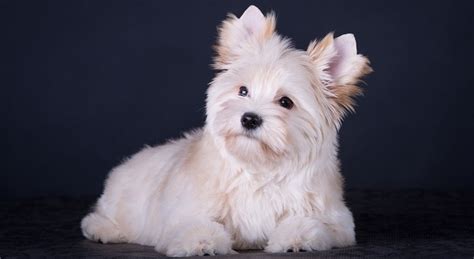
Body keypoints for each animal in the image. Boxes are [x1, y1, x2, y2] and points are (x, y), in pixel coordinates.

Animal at [80, 5, 370, 256]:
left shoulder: (335, 219)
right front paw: (200, 240)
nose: (250, 118)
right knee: (99, 217)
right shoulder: (183, 212)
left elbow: (316, 224)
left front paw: (296, 237)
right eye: (243, 91)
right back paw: (103, 229)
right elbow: (191, 224)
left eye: (286, 102)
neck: (258, 169)